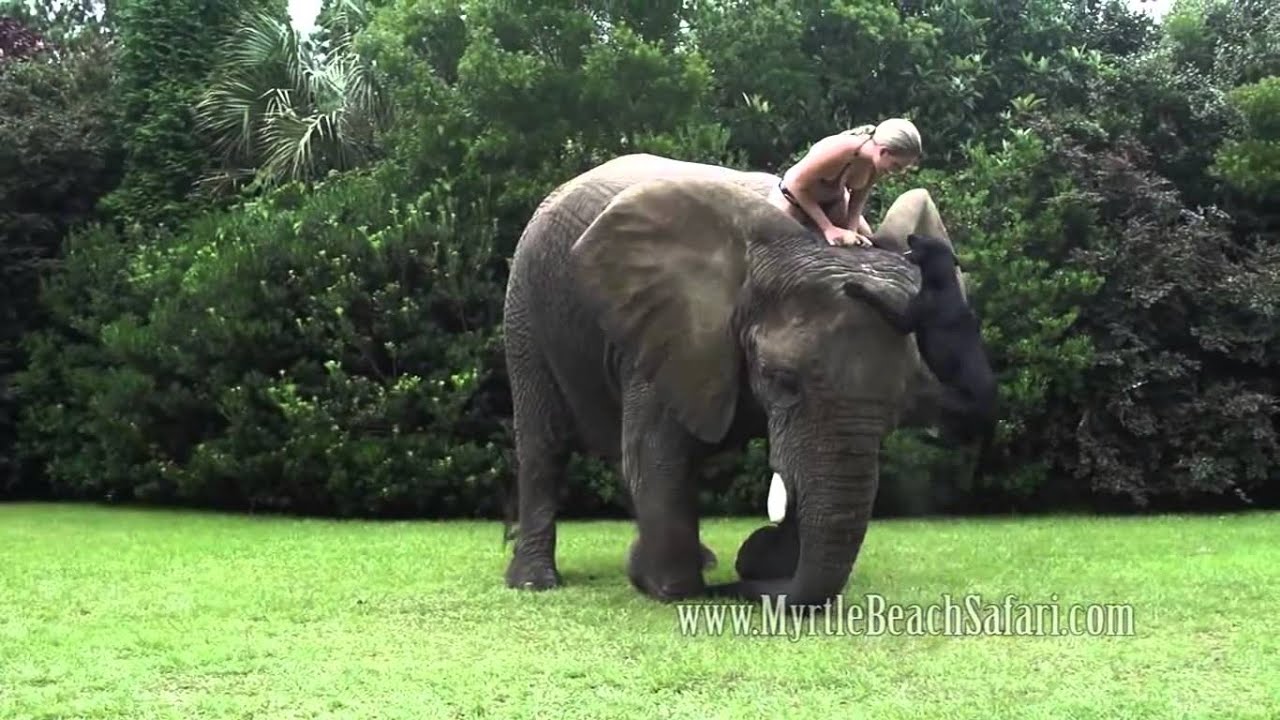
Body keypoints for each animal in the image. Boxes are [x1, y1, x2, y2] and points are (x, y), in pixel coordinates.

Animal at [501, 153, 964, 608]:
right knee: (544, 445)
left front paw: (753, 564)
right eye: (780, 379)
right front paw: (669, 588)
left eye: (901, 402)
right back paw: (535, 582)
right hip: (525, 307)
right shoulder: (675, 331)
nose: (743, 576)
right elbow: (656, 455)